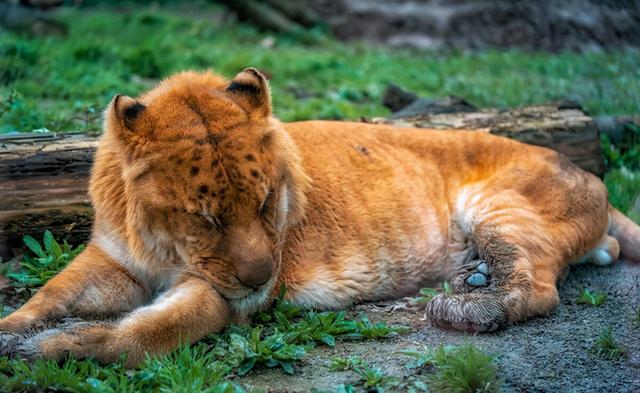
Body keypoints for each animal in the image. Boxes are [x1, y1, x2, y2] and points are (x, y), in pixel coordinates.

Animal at [1, 68, 640, 364]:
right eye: (205, 218)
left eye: (264, 204)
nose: (261, 277)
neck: (162, 247)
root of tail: (590, 174)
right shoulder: (114, 260)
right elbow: (51, 295)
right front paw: (15, 331)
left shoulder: (225, 296)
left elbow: (146, 333)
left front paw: (56, 349)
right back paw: (475, 277)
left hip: (500, 204)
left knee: (542, 287)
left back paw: (469, 302)